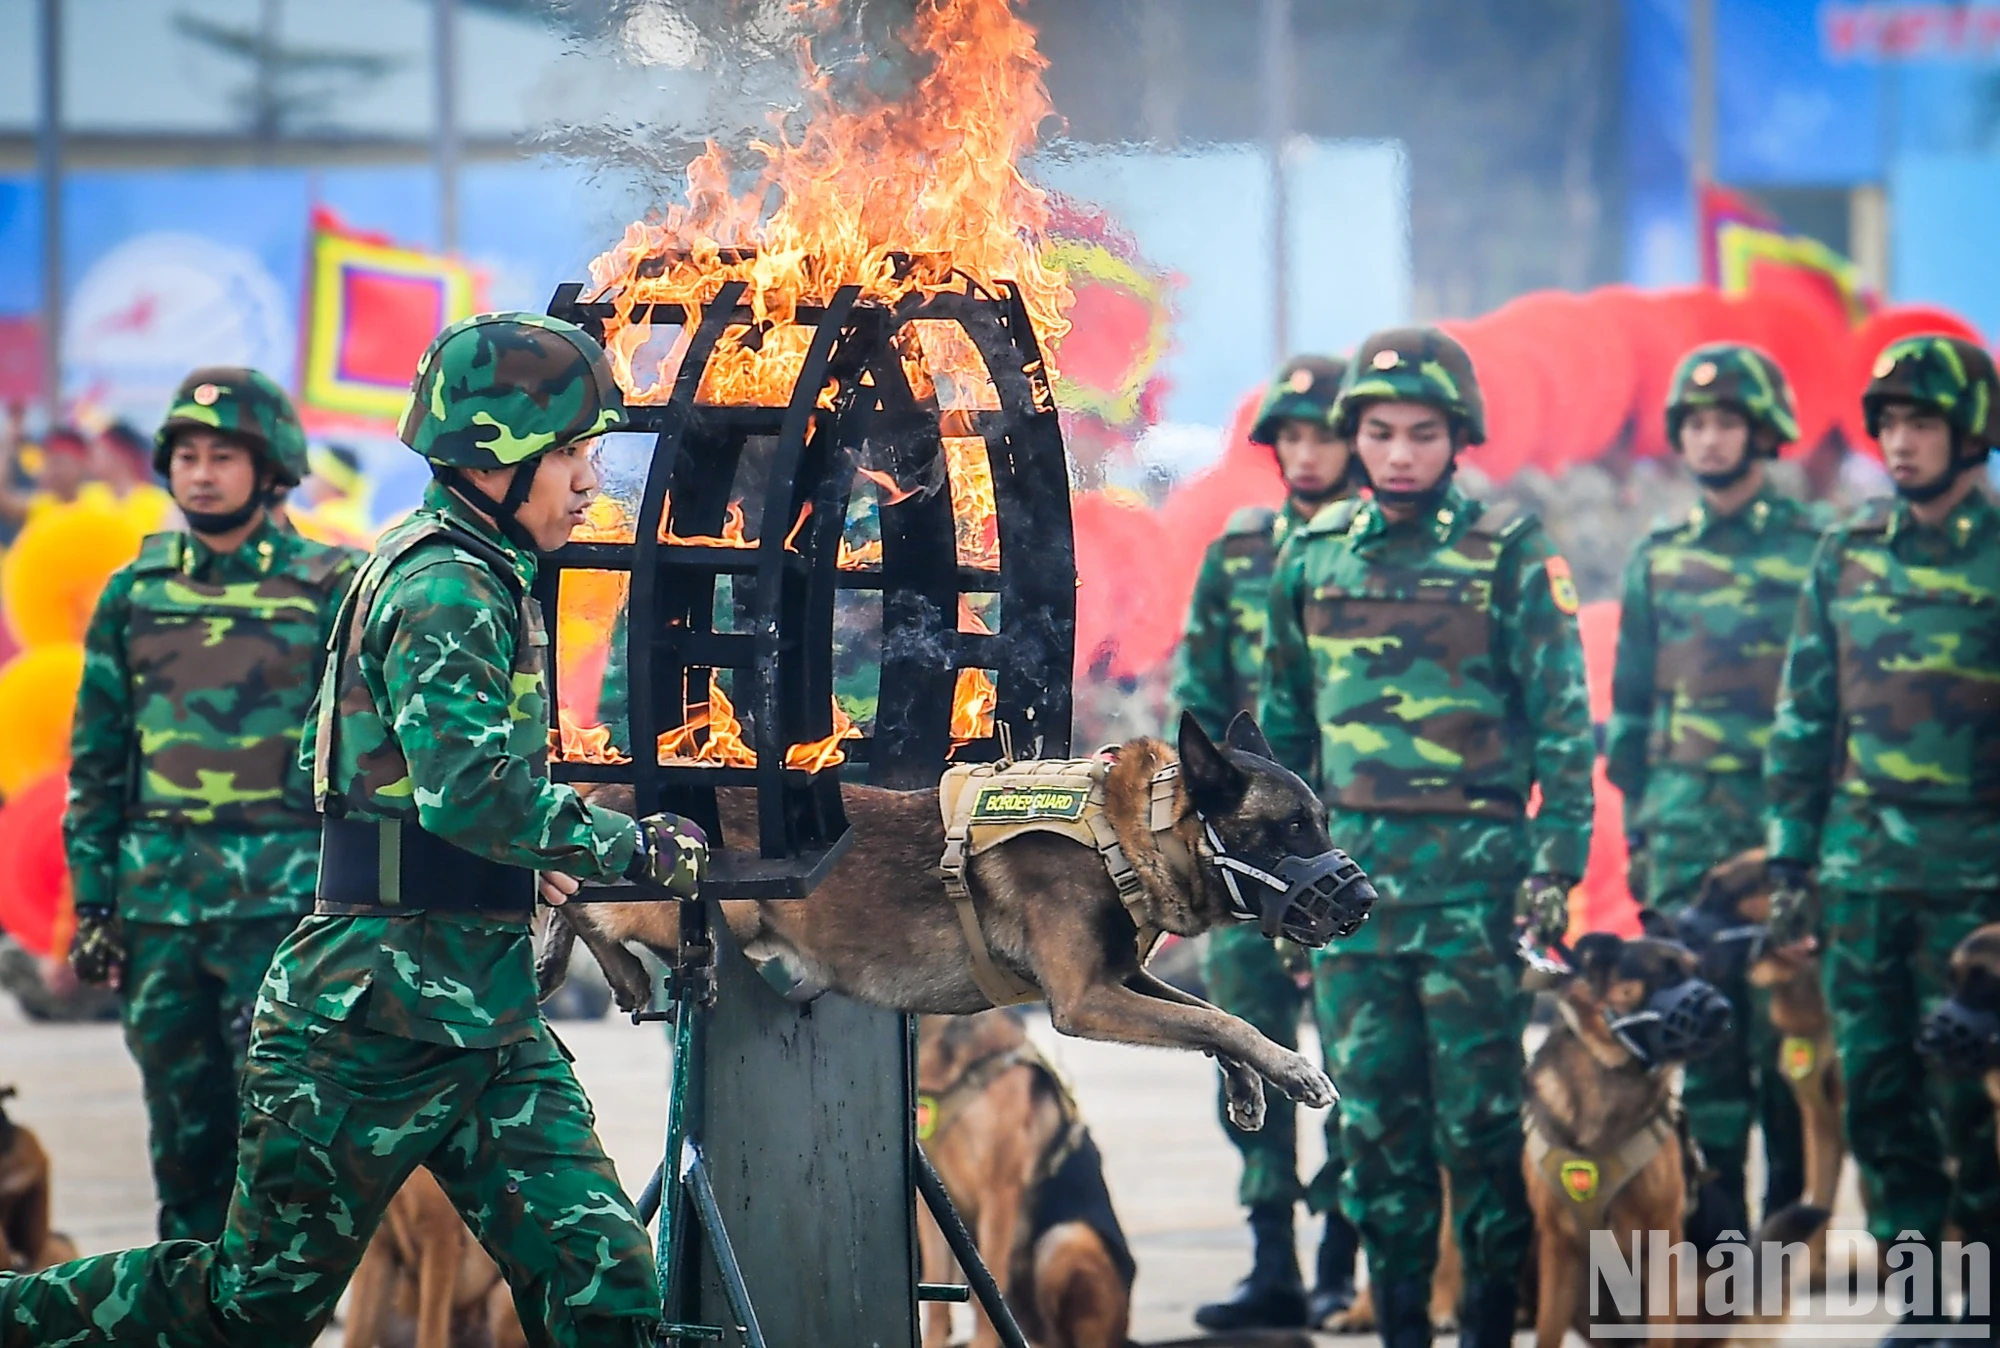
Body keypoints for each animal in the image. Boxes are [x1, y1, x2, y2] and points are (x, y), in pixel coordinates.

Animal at [540, 712, 1376, 1136]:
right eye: (1291, 830)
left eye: (1320, 822)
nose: (1364, 899)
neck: (1129, 831)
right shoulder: (1087, 1001)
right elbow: (1219, 1020)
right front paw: (1296, 1071)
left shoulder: (1123, 978)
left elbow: (1211, 1015)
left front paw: (1251, 1083)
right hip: (695, 897)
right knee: (577, 891)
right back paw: (600, 964)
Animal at [916, 1008, 1136, 1344]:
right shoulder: (931, 1200)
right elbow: (937, 1291)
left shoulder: (999, 1191)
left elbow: (990, 1285)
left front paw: (982, 1345)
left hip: (1065, 1239)